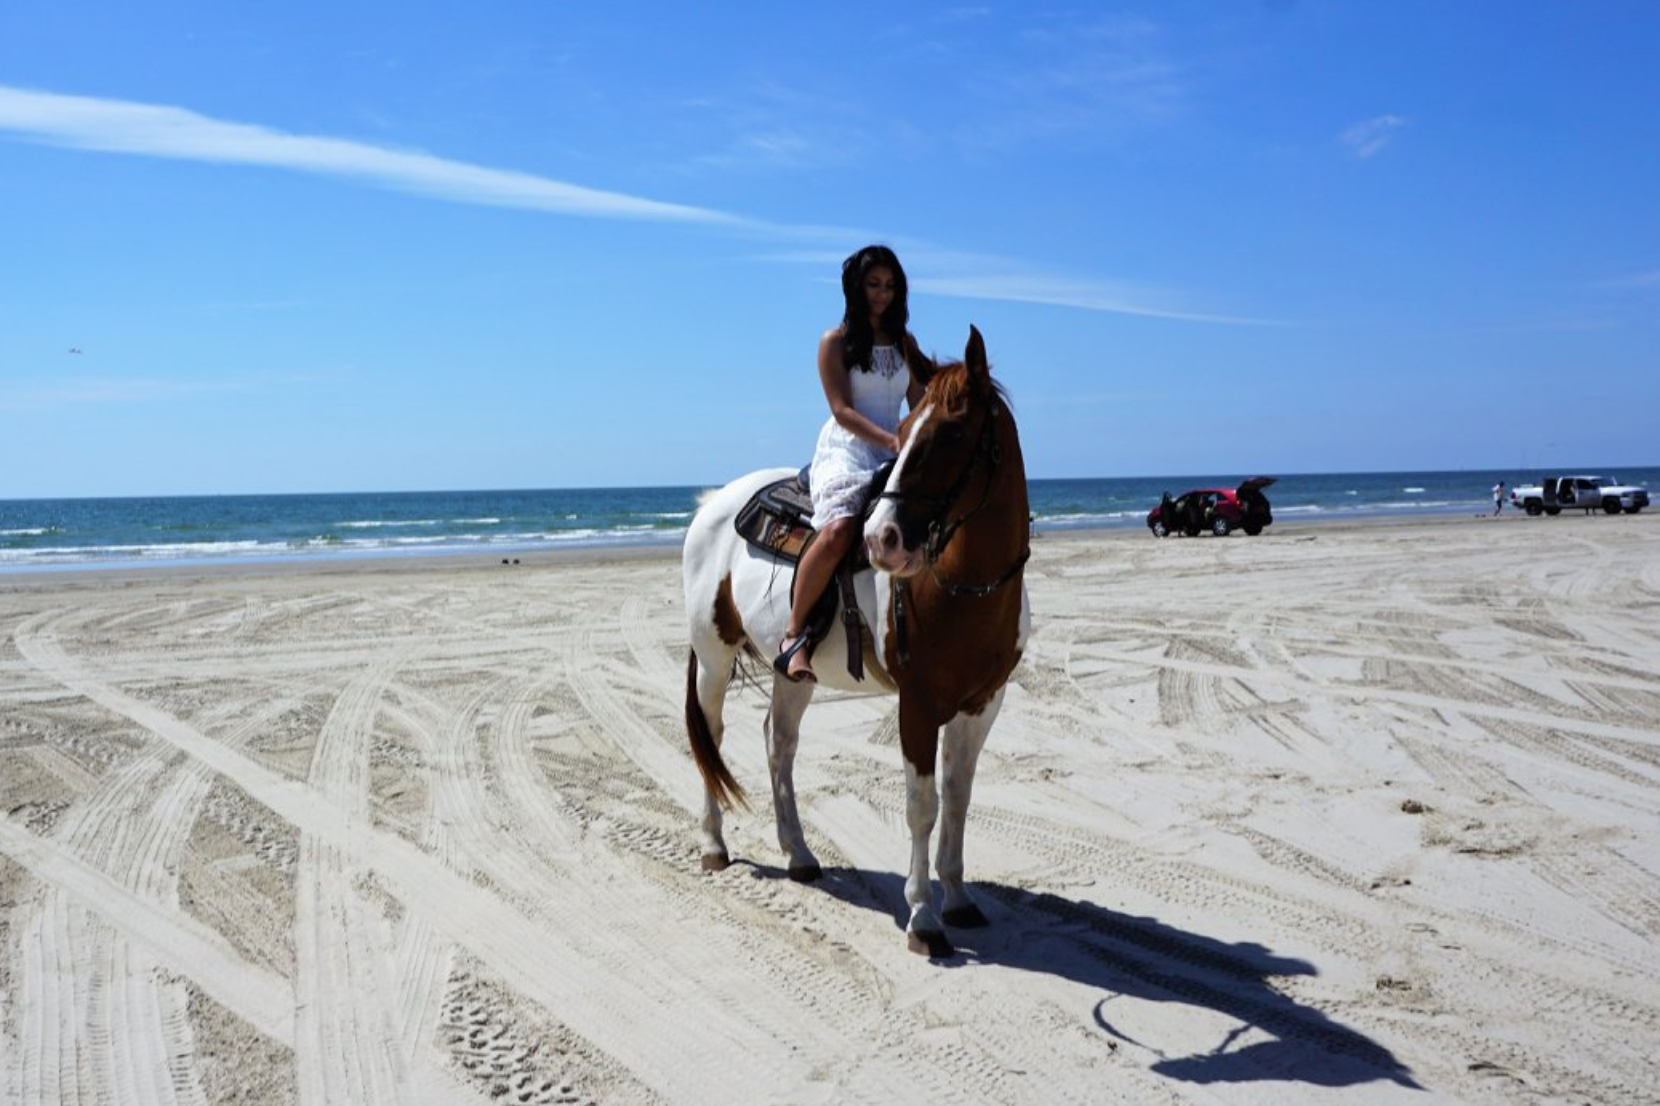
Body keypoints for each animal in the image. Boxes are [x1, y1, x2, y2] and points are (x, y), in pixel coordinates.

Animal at [681, 326, 1030, 957]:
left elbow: (958, 798)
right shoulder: (918, 705)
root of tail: (712, 504)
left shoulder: (982, 704)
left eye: (952, 432)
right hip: (715, 659)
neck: (963, 583)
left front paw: (958, 900)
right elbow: (922, 806)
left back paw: (799, 854)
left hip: (790, 672)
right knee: (711, 739)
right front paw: (923, 918)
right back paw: (714, 846)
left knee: (779, 744)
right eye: (904, 429)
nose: (882, 539)